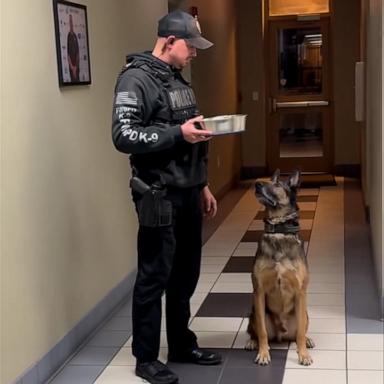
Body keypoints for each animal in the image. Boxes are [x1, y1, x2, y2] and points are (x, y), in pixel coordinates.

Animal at [246, 170, 316, 366]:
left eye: (277, 184)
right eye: (270, 180)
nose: (256, 184)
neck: (278, 231)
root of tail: (281, 334)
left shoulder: (300, 292)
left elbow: (300, 333)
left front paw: (303, 354)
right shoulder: (259, 292)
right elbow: (262, 332)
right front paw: (263, 353)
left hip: (304, 312)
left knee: (299, 332)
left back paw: (307, 340)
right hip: (254, 311)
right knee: (255, 330)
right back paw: (252, 341)